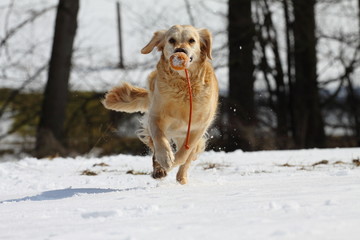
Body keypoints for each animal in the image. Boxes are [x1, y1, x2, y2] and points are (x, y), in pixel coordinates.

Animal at [102, 25, 218, 184]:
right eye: (171, 40)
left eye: (192, 40)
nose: (180, 51)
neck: (183, 86)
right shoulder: (156, 116)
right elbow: (159, 139)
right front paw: (165, 159)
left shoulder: (198, 127)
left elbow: (185, 153)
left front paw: (172, 163)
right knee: (155, 145)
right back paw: (159, 168)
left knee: (187, 158)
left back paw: (181, 177)